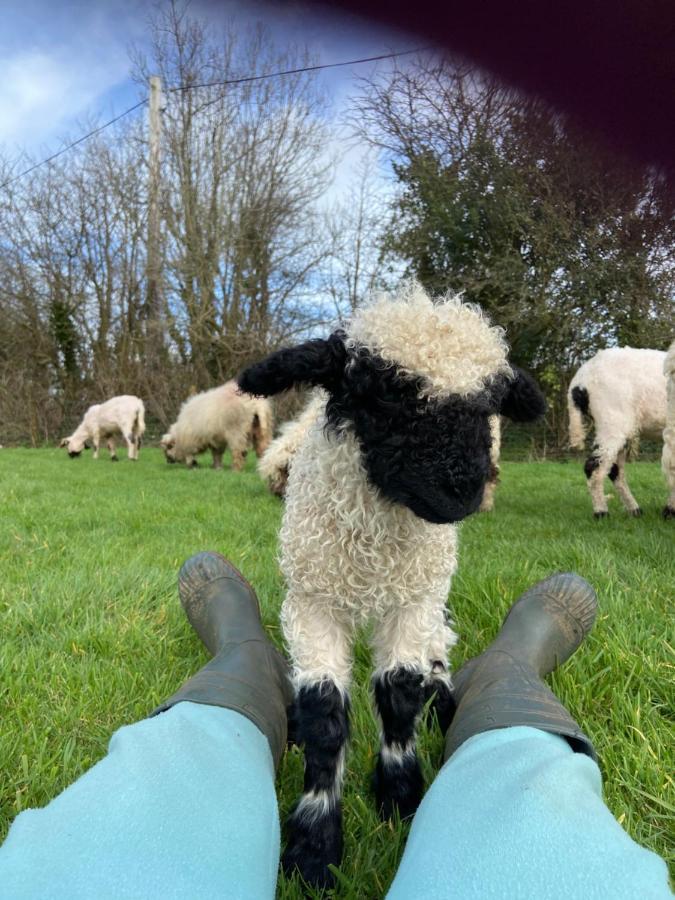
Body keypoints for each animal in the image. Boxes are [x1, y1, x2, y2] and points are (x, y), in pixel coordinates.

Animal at [240, 284, 548, 888]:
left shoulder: (414, 599)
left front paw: (400, 796)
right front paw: (314, 846)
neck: (375, 549)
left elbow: (400, 693)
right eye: (387, 395)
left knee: (437, 656)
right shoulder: (313, 600)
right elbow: (324, 714)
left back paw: (442, 699)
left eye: (489, 405)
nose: (463, 490)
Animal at [568, 346, 668, 516]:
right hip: (611, 420)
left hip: (620, 427)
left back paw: (634, 510)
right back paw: (601, 512)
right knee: (594, 467)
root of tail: (580, 380)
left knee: (614, 471)